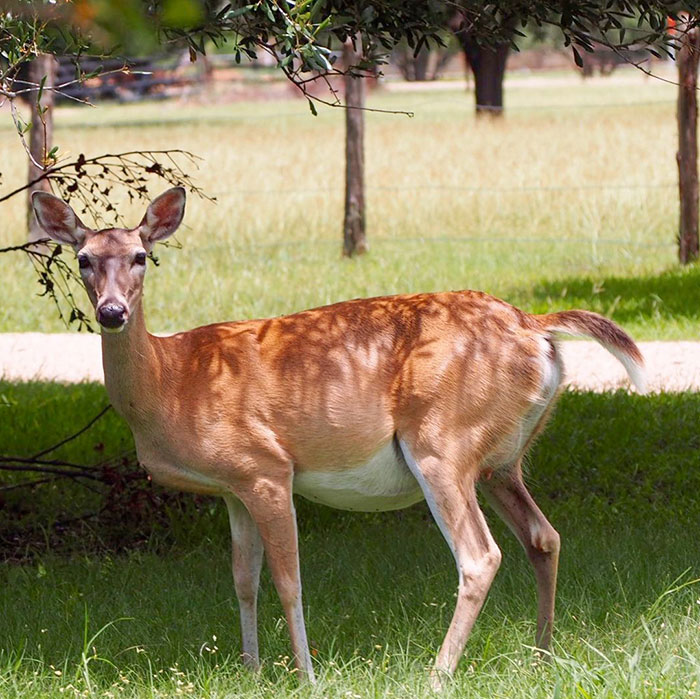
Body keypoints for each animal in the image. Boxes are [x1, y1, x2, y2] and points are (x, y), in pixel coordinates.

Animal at [31, 187, 645, 689]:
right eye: (83, 259)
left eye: (141, 256)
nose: (112, 312)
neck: (172, 380)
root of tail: (535, 326)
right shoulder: (232, 487)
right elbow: (243, 579)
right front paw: (251, 670)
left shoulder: (265, 466)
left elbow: (289, 580)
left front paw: (305, 676)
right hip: (502, 459)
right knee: (544, 536)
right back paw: (542, 656)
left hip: (443, 440)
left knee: (480, 555)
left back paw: (438, 673)